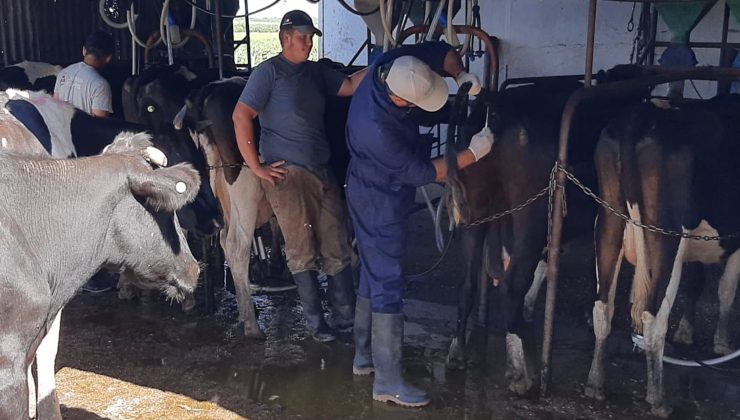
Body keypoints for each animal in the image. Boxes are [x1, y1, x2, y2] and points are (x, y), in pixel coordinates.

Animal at [584, 94, 740, 416]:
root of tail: (637, 118)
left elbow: (696, 282)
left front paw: (687, 332)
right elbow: (726, 288)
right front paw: (721, 342)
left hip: (607, 220)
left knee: (603, 307)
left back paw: (595, 384)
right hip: (666, 237)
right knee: (653, 319)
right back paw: (658, 399)